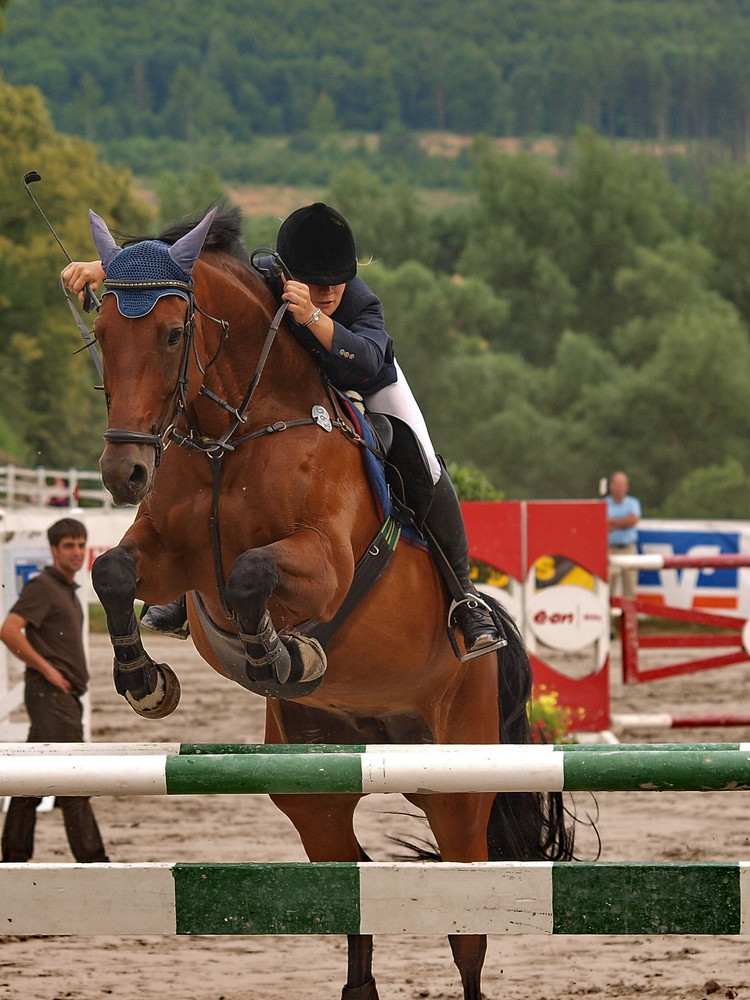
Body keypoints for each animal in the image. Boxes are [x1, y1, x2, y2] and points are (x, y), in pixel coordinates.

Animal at [88, 205, 576, 1000]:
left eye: (171, 333)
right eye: (100, 333)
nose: (123, 471)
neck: (235, 434)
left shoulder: (324, 564)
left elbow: (252, 574)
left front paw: (281, 655)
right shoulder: (173, 560)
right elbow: (115, 572)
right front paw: (144, 680)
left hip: (458, 785)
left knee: (468, 923)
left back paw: (466, 622)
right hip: (316, 786)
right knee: (351, 882)